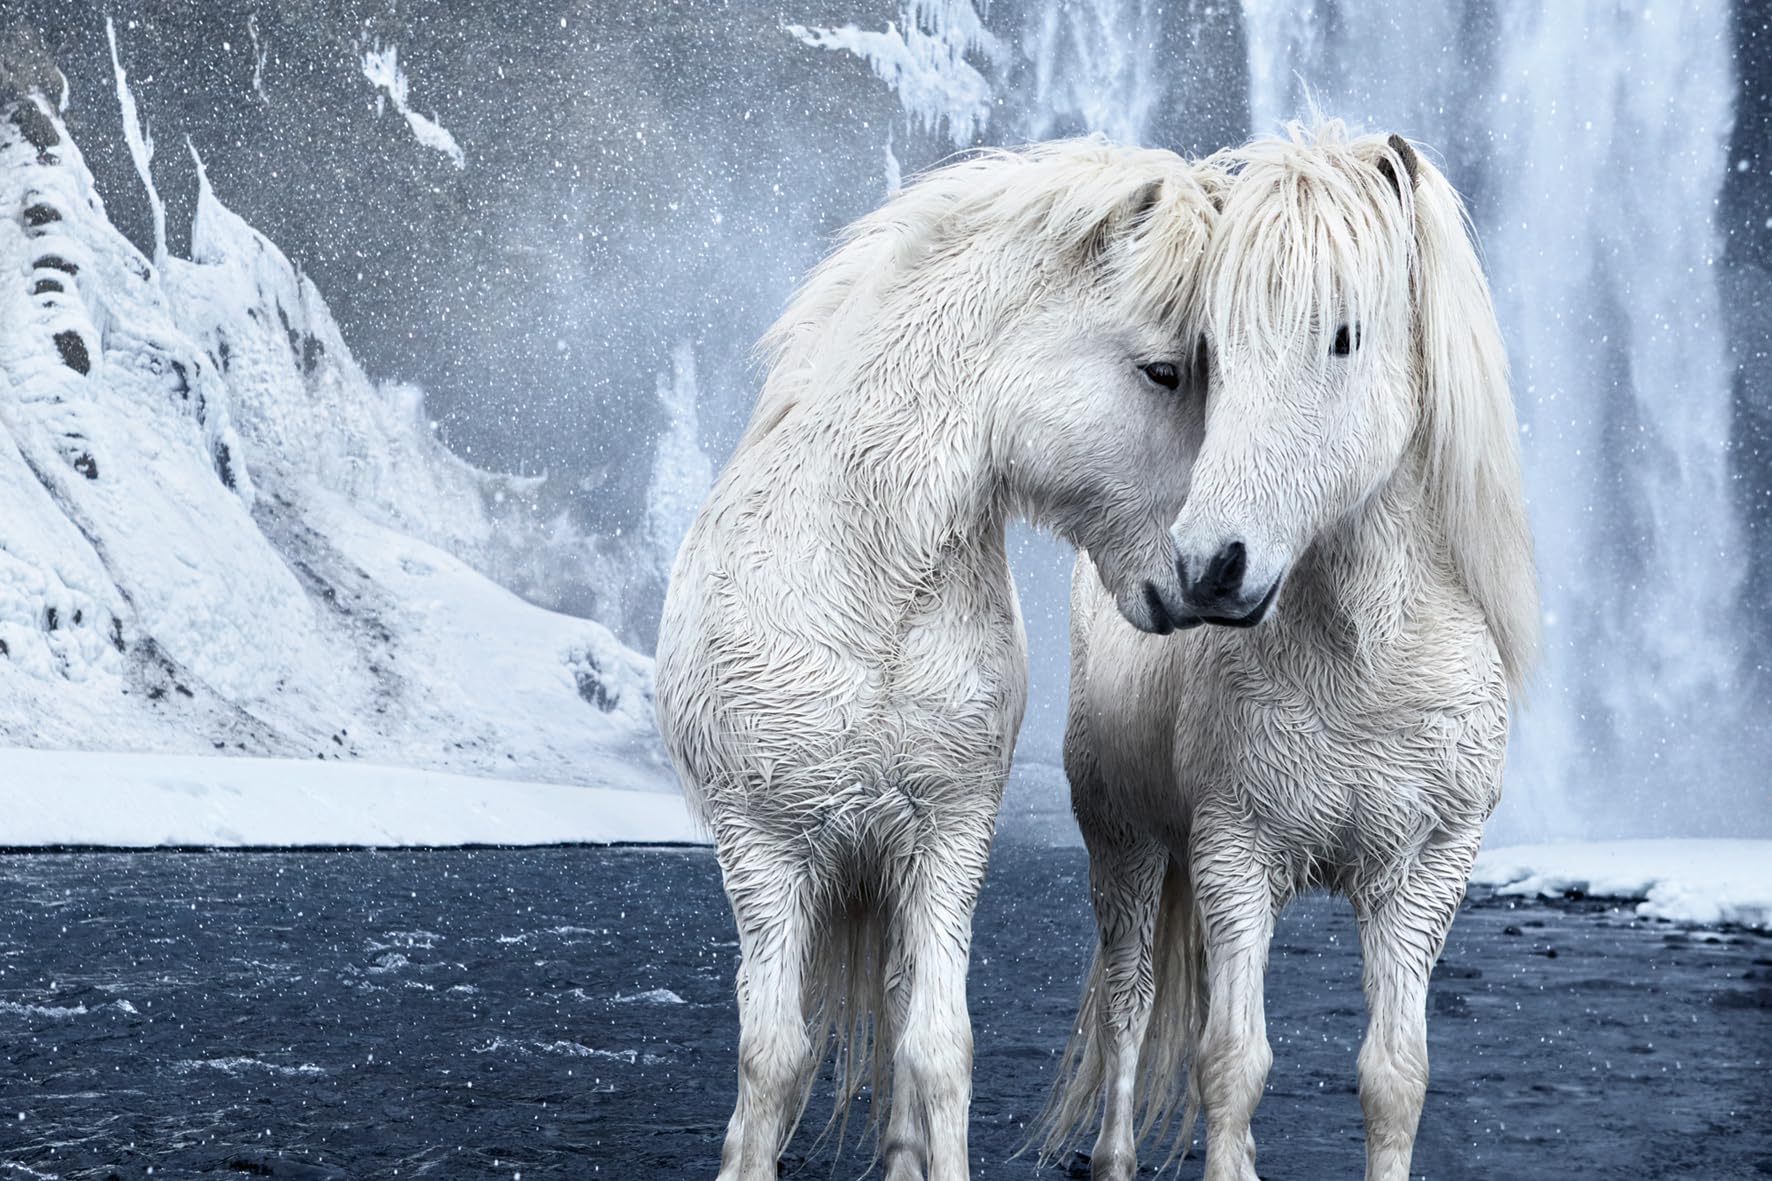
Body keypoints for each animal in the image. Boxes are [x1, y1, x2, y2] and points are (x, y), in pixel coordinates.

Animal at [654, 140, 1223, 1181]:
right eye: (1165, 371)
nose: (1212, 574)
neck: (864, 587)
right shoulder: (763, 850)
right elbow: (773, 1055)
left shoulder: (948, 840)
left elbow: (937, 1045)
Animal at [1037, 122, 1538, 1181]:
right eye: (1213, 350)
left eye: (1344, 335)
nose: (1208, 565)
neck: (1367, 664)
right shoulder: (1236, 855)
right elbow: (1233, 1062)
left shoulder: (1423, 877)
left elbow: (1394, 1076)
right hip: (1126, 847)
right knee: (1130, 1005)